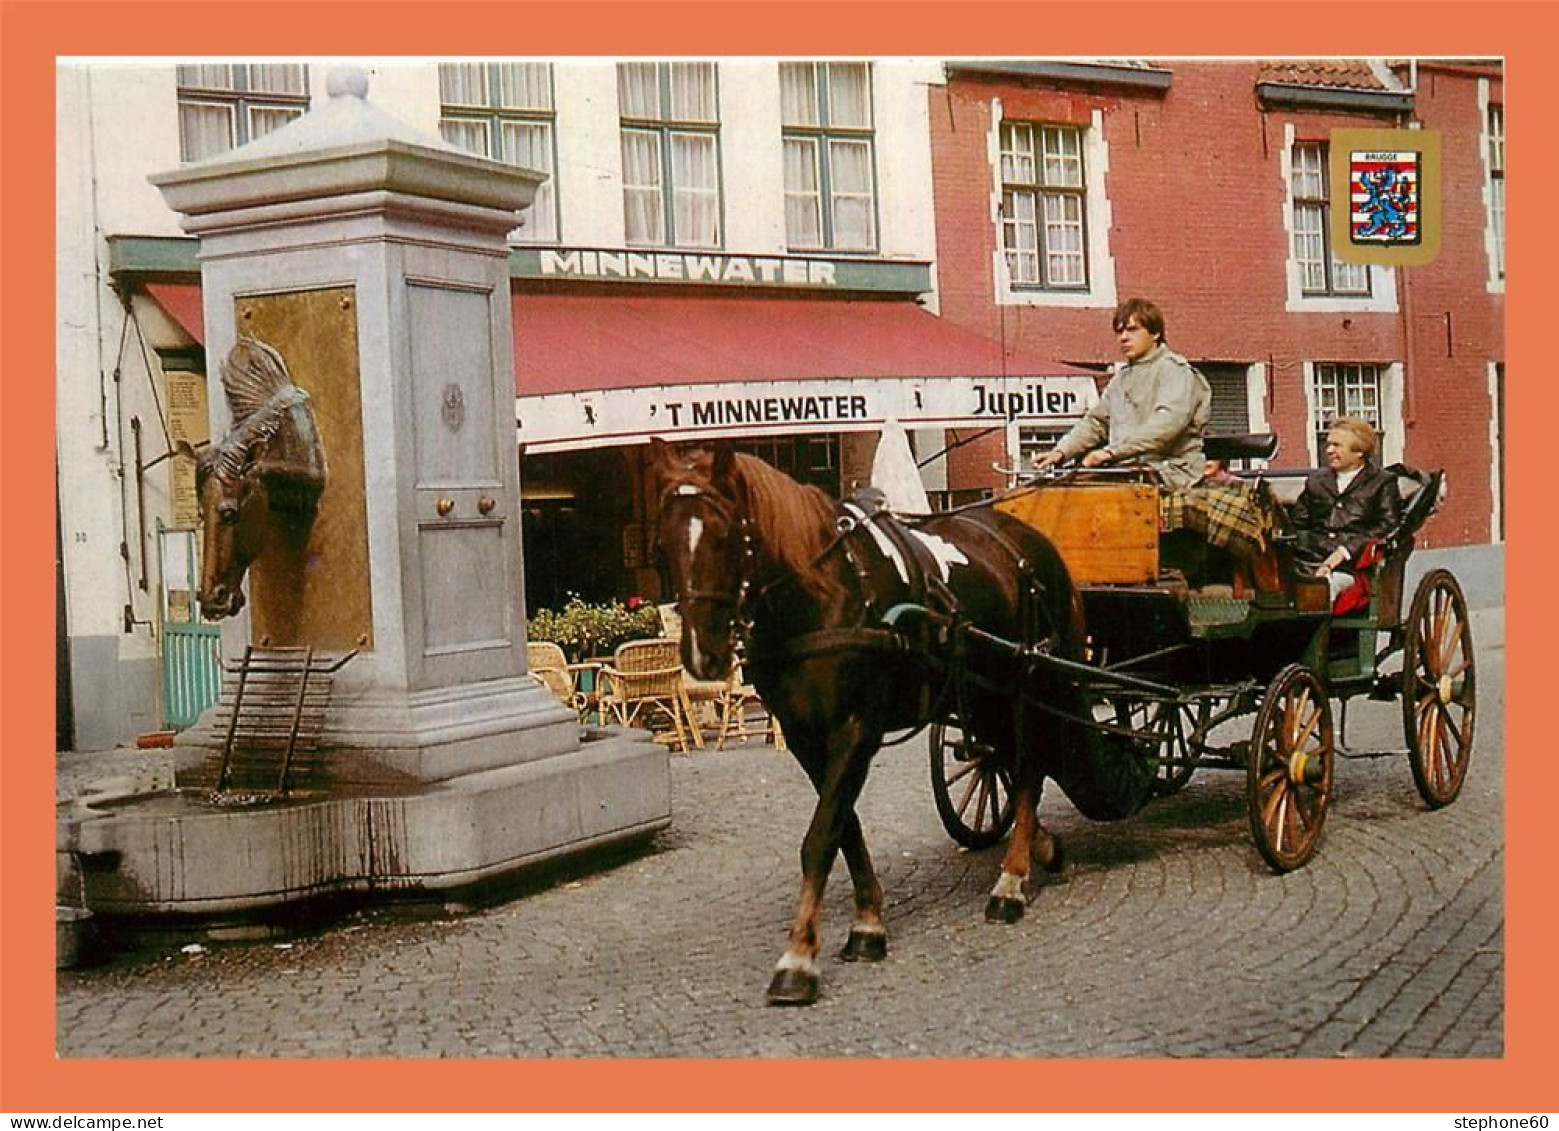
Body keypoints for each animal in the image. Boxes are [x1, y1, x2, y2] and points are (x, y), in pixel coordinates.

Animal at [651, 436, 1153, 998]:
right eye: (663, 544)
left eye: (724, 537)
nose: (702, 655)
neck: (824, 592)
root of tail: (1031, 541)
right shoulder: (807, 739)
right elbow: (845, 829)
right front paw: (868, 924)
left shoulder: (855, 729)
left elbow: (821, 836)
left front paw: (798, 958)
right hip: (985, 696)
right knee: (1007, 761)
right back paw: (1040, 850)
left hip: (1031, 684)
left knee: (1028, 772)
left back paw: (1010, 882)